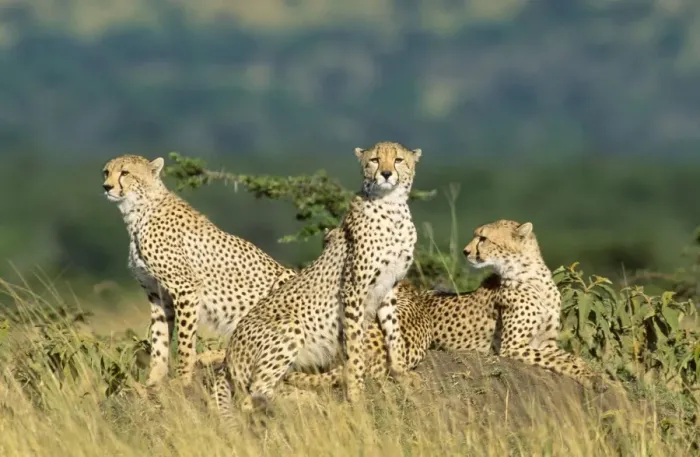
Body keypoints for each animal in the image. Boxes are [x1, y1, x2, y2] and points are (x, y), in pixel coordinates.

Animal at [102, 154, 295, 388]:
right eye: (106, 172)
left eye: (125, 173)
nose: (106, 186)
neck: (138, 211)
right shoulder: (157, 294)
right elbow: (159, 339)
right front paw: (154, 380)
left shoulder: (185, 288)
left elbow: (185, 341)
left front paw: (183, 378)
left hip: (285, 281)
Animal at [211, 141, 422, 416]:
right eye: (375, 160)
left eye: (398, 160)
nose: (386, 174)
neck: (392, 207)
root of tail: (228, 354)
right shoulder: (354, 290)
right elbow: (355, 350)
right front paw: (356, 395)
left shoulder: (388, 288)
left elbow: (393, 335)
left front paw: (402, 375)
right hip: (290, 326)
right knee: (253, 395)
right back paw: (309, 401)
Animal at [284, 219, 606, 392]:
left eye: (483, 238)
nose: (465, 251)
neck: (530, 274)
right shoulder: (512, 347)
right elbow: (563, 361)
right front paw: (590, 377)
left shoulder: (546, 341)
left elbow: (571, 358)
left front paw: (593, 373)